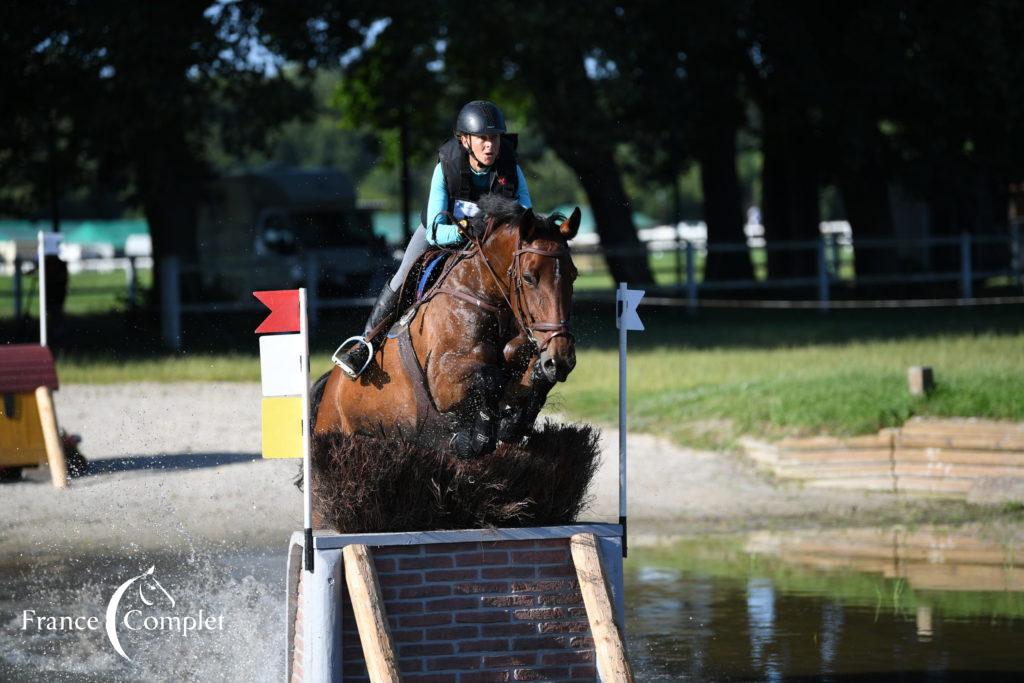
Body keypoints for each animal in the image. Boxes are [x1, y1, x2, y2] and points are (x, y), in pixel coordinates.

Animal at [315, 193, 581, 458]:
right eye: (528, 277)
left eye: (573, 274)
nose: (561, 359)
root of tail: (329, 386)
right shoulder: (441, 380)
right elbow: (490, 378)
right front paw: (475, 437)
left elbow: (533, 378)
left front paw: (511, 424)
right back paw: (354, 357)